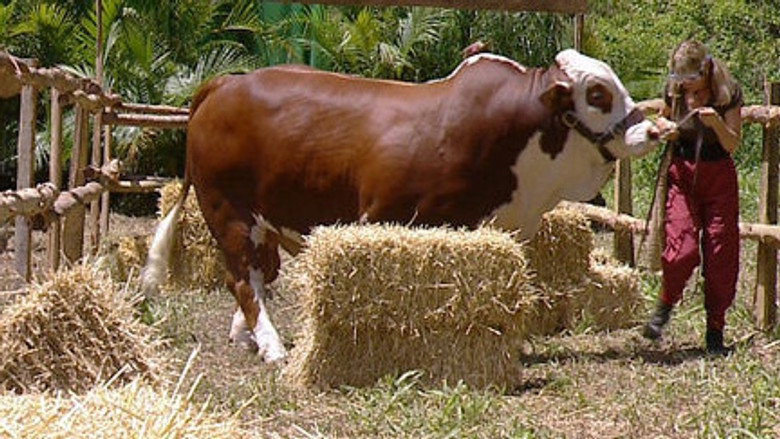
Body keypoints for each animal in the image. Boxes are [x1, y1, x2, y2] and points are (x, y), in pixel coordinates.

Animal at [142, 49, 661, 363]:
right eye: (598, 94)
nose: (652, 131)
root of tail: (226, 83)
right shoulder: (385, 216)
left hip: (265, 218)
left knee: (257, 276)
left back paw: (246, 335)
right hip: (229, 213)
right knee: (243, 279)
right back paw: (270, 344)